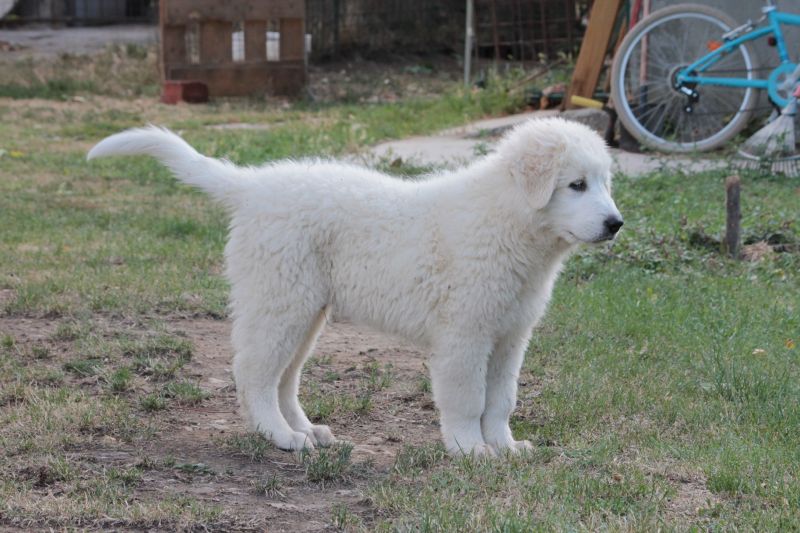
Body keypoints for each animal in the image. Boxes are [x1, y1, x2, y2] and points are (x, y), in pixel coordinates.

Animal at [89, 118, 624, 456]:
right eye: (576, 185)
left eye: (604, 183)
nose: (616, 223)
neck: (508, 221)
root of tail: (253, 185)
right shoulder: (465, 336)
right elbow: (468, 398)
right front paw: (470, 449)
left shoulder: (510, 336)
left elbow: (501, 399)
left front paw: (506, 446)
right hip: (280, 300)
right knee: (254, 373)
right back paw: (280, 437)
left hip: (306, 312)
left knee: (285, 378)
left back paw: (306, 429)